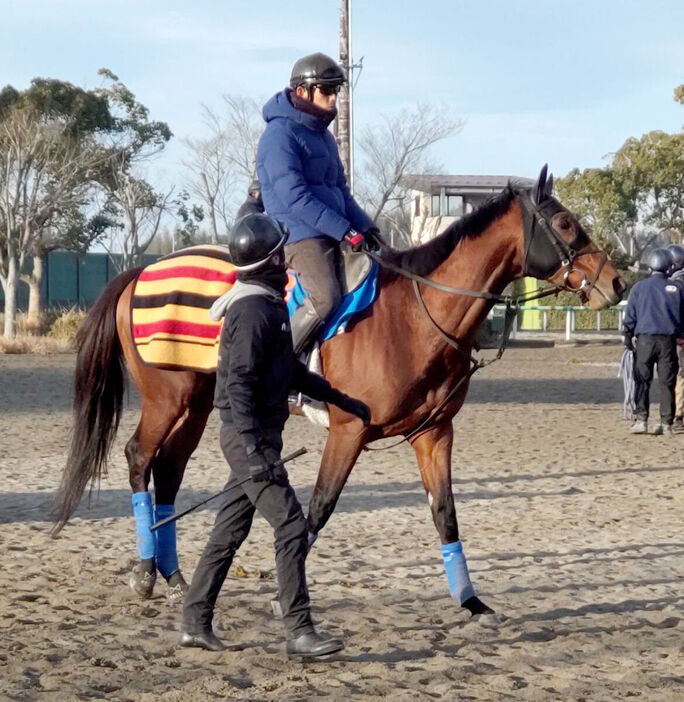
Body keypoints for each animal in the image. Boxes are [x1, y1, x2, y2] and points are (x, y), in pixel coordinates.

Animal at [50, 168, 624, 620]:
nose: (616, 284)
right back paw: (147, 571)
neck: (413, 314)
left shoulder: (434, 434)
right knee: (139, 457)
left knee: (168, 468)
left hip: (197, 404)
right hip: (168, 399)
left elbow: (444, 512)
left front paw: (471, 601)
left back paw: (173, 578)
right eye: (566, 223)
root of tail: (140, 269)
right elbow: (320, 507)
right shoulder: (347, 434)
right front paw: (284, 595)